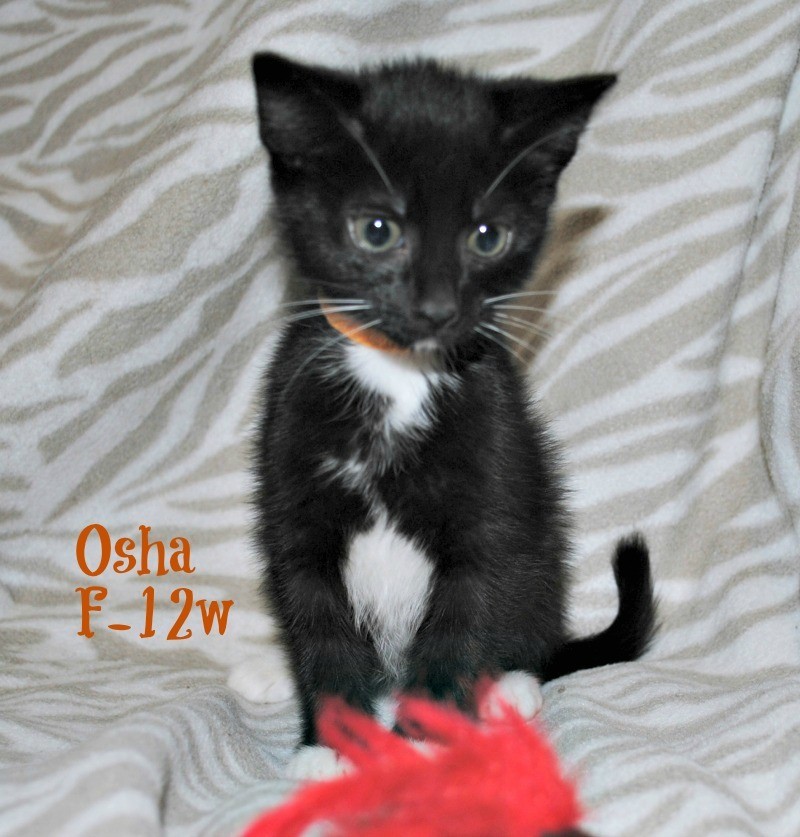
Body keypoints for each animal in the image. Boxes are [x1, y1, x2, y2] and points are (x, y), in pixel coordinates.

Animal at [249, 52, 656, 777]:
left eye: (487, 237)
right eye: (376, 230)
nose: (437, 308)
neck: (398, 380)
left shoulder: (492, 486)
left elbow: (462, 618)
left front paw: (429, 741)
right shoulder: (292, 499)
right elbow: (316, 623)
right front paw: (329, 745)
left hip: (538, 547)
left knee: (530, 624)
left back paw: (510, 686)